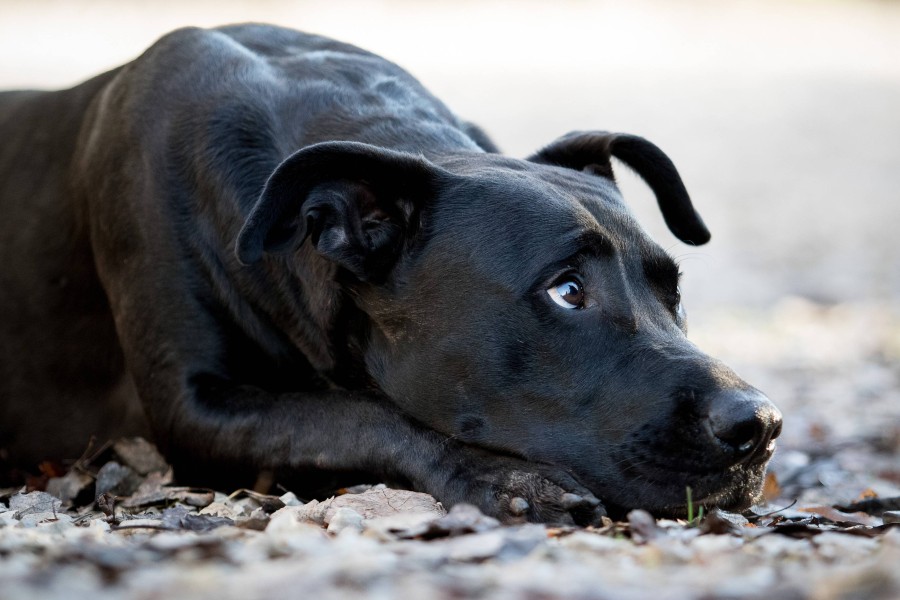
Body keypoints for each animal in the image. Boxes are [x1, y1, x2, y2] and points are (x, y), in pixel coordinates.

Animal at [0, 24, 780, 520]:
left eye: (672, 292)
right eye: (566, 291)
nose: (762, 425)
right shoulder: (191, 408)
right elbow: (353, 416)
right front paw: (500, 475)